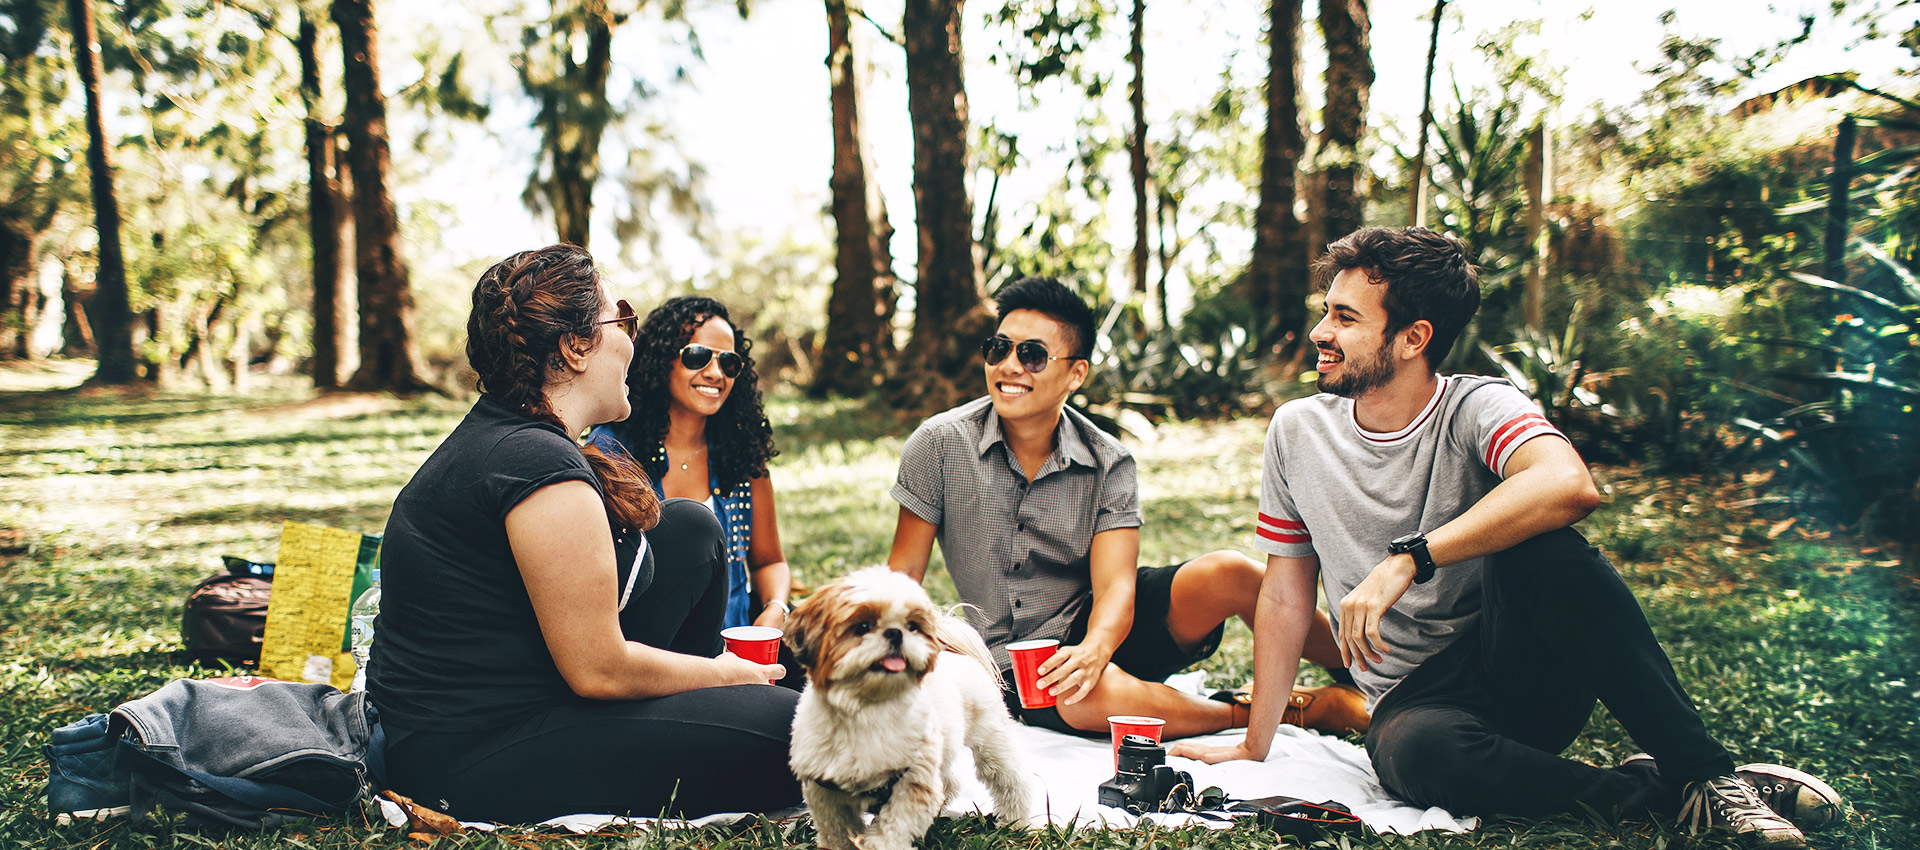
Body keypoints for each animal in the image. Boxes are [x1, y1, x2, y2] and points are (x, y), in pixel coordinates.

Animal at [783, 564, 1036, 850]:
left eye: (912, 626)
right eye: (862, 626)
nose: (895, 633)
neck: (867, 710)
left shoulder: (913, 782)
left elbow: (892, 830)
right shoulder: (825, 790)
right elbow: (836, 831)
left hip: (991, 741)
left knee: (1011, 779)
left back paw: (1017, 822)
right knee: (949, 781)